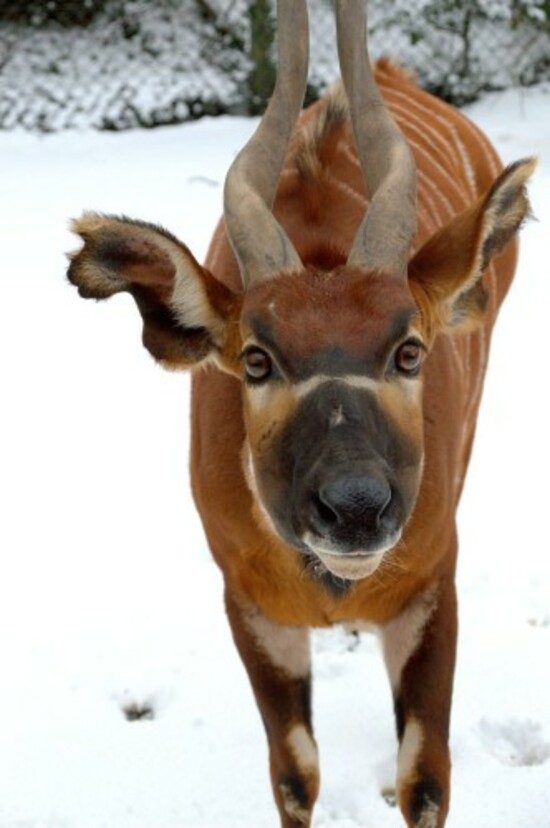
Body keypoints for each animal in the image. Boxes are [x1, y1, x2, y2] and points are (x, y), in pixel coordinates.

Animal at [67, 1, 536, 828]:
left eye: (408, 350)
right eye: (256, 359)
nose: (355, 509)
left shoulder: (431, 590)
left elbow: (425, 779)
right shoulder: (254, 611)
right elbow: (294, 774)